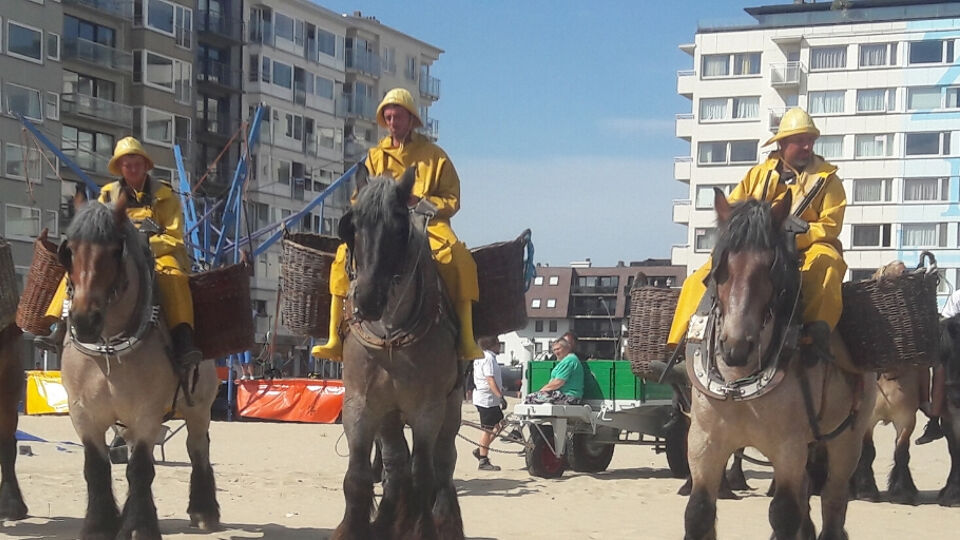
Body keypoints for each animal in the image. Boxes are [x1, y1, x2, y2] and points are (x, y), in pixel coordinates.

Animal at [57, 196, 219, 536]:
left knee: (198, 448)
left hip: (199, 408)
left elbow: (142, 470)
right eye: (69, 250)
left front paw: (138, 527)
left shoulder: (147, 414)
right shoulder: (84, 415)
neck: (107, 348)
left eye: (114, 251)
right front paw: (101, 525)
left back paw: (203, 510)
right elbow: (97, 468)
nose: (84, 320)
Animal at [332, 167, 464, 536]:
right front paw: (354, 528)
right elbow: (357, 478)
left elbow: (424, 475)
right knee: (395, 465)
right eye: (352, 226)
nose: (367, 299)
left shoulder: (427, 411)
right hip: (389, 415)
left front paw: (425, 529)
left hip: (451, 407)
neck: (390, 333)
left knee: (442, 467)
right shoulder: (360, 406)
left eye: (399, 229)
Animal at [684, 190, 876, 540]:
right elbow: (699, 513)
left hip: (846, 441)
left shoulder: (788, 449)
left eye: (770, 268)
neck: (737, 380)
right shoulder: (704, 444)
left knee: (833, 503)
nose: (735, 346)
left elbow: (784, 514)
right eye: (721, 268)